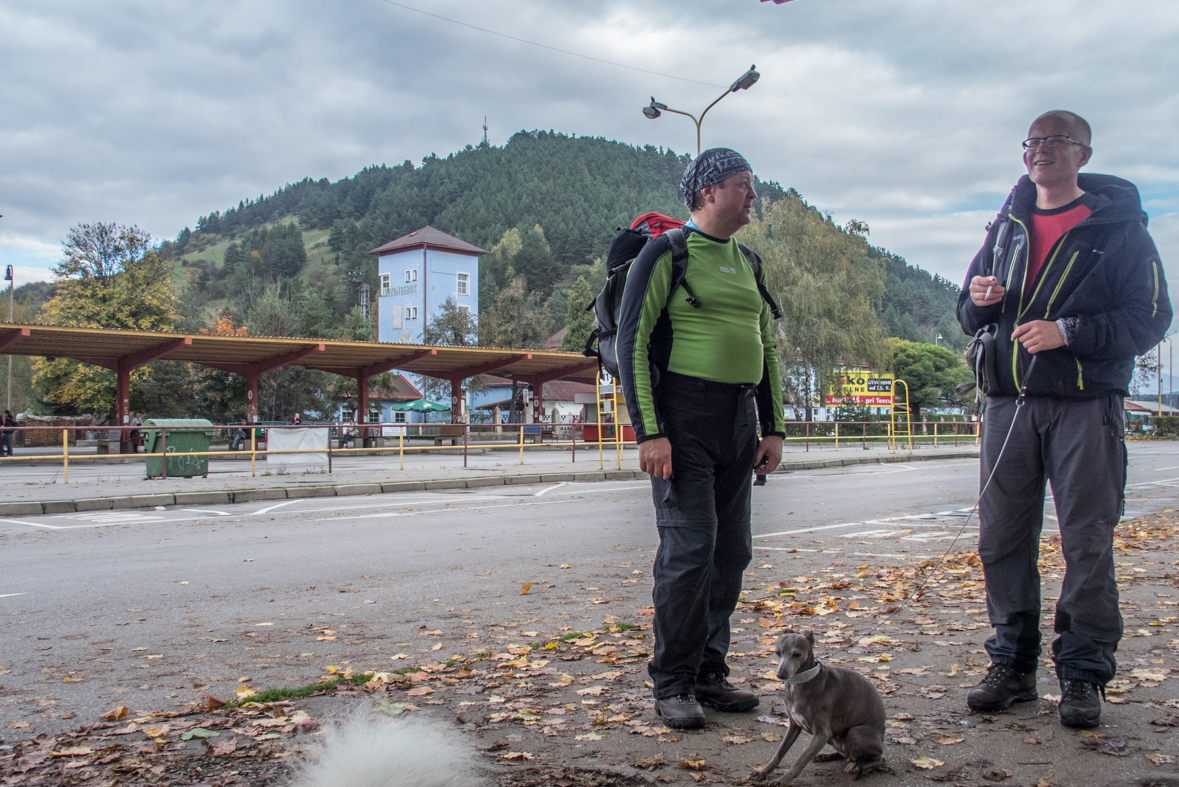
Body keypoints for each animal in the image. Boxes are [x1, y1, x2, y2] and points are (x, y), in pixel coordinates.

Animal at [754, 631, 886, 782]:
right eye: (777, 652)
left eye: (797, 654)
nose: (780, 675)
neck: (801, 683)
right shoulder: (794, 725)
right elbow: (779, 753)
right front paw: (763, 771)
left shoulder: (821, 734)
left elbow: (800, 760)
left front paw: (783, 780)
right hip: (834, 738)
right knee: (846, 755)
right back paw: (825, 756)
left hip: (855, 733)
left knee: (879, 758)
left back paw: (857, 766)